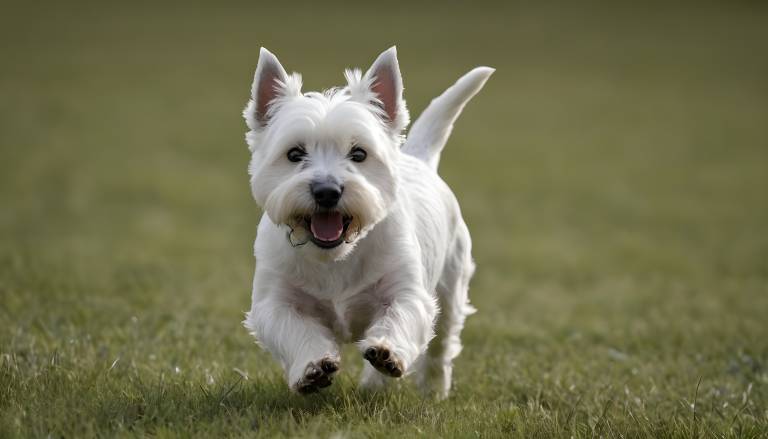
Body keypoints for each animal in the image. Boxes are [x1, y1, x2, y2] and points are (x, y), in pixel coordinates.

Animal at [243, 47, 496, 398]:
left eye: (359, 153)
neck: (336, 256)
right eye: (294, 154)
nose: (327, 191)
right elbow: (295, 330)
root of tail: (418, 158)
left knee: (441, 345)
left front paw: (388, 352)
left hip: (452, 284)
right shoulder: (275, 301)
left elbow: (400, 317)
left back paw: (430, 389)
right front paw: (312, 368)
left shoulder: (405, 291)